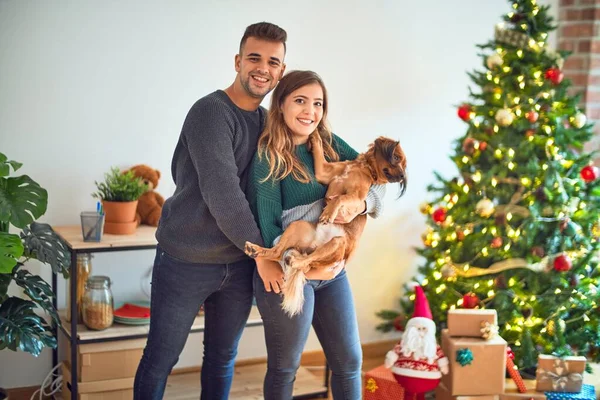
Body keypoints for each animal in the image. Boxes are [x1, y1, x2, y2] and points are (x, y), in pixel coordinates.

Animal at [245, 134, 408, 316]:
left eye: (403, 164)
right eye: (396, 158)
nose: (403, 176)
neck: (363, 167)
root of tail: (314, 245)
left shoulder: (357, 198)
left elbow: (340, 198)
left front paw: (329, 213)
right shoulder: (323, 172)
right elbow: (318, 152)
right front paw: (314, 135)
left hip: (337, 243)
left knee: (306, 261)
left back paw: (293, 260)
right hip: (297, 226)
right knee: (278, 253)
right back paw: (255, 249)